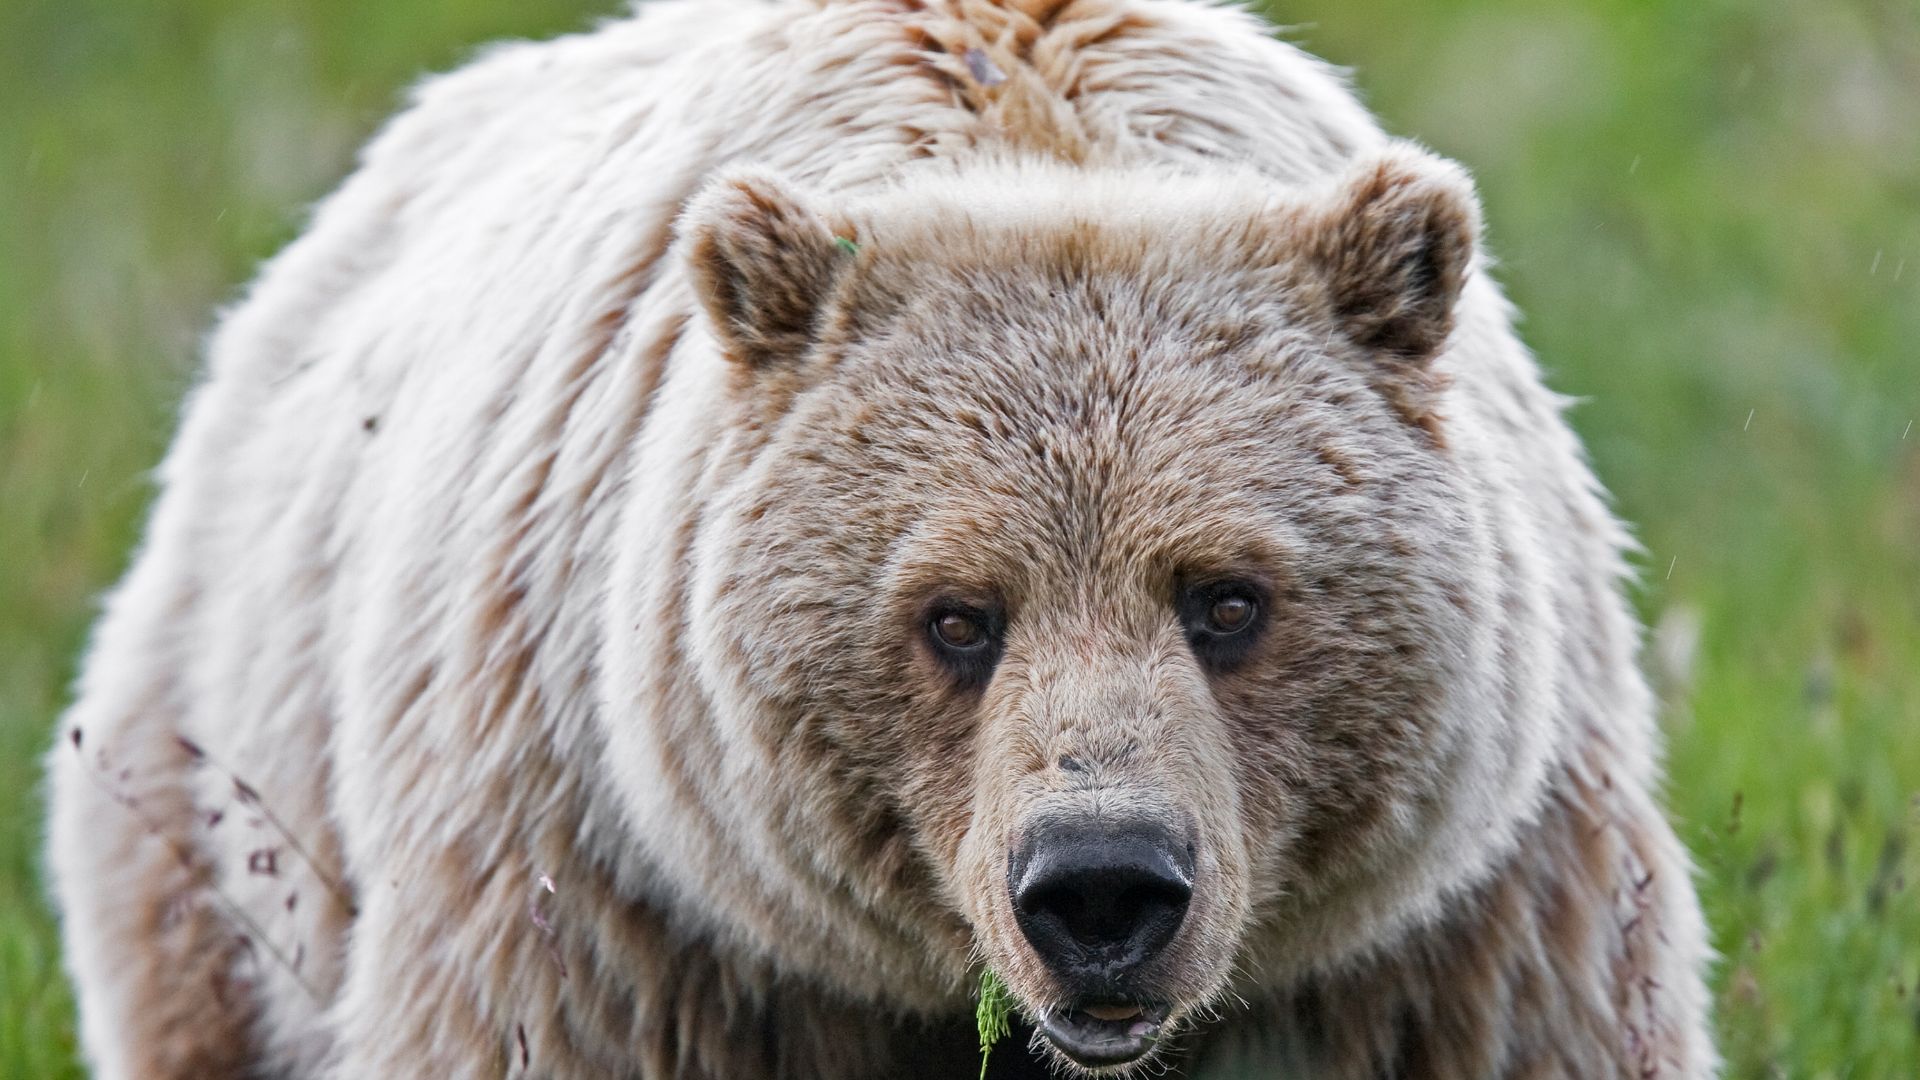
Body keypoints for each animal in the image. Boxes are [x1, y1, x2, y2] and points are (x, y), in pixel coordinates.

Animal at [45, 0, 1717, 1077]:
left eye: (1227, 598)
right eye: (956, 615)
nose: (1101, 889)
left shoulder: (1455, 942)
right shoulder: (623, 919)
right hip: (218, 821)